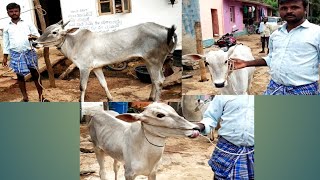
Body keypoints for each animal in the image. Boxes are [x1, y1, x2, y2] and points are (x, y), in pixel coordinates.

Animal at [35, 20, 178, 102]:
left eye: (54, 32)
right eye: (46, 29)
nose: (35, 43)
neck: (74, 43)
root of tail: (166, 29)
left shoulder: (84, 68)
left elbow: (82, 87)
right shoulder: (96, 68)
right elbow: (104, 83)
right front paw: (110, 98)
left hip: (155, 60)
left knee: (159, 81)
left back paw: (156, 102)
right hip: (149, 61)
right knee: (155, 80)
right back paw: (150, 97)